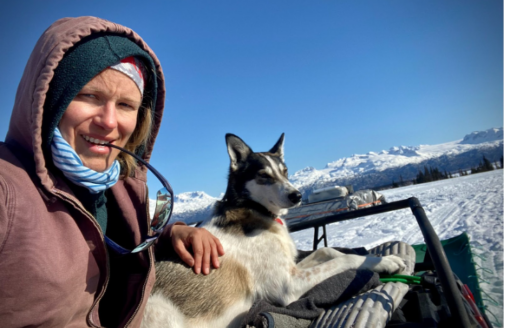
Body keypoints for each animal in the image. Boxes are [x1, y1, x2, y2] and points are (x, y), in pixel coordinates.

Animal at [143, 133, 406, 328]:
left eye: (285, 171)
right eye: (263, 176)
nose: (297, 195)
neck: (254, 209)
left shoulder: (292, 268)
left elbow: (328, 252)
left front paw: (382, 257)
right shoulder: (289, 286)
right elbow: (345, 260)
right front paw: (383, 262)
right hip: (159, 311)